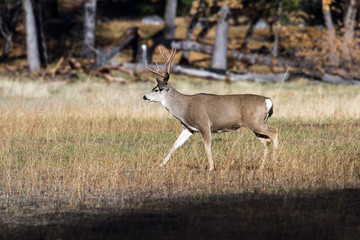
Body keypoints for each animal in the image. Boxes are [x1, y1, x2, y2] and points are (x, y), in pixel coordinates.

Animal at [143, 47, 278, 171]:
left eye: (156, 89)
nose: (144, 96)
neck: (184, 108)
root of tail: (268, 101)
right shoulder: (188, 128)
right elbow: (175, 144)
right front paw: (160, 165)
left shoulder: (204, 124)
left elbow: (207, 146)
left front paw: (211, 168)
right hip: (255, 125)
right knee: (266, 141)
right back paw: (261, 167)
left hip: (255, 122)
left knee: (274, 131)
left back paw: (275, 163)